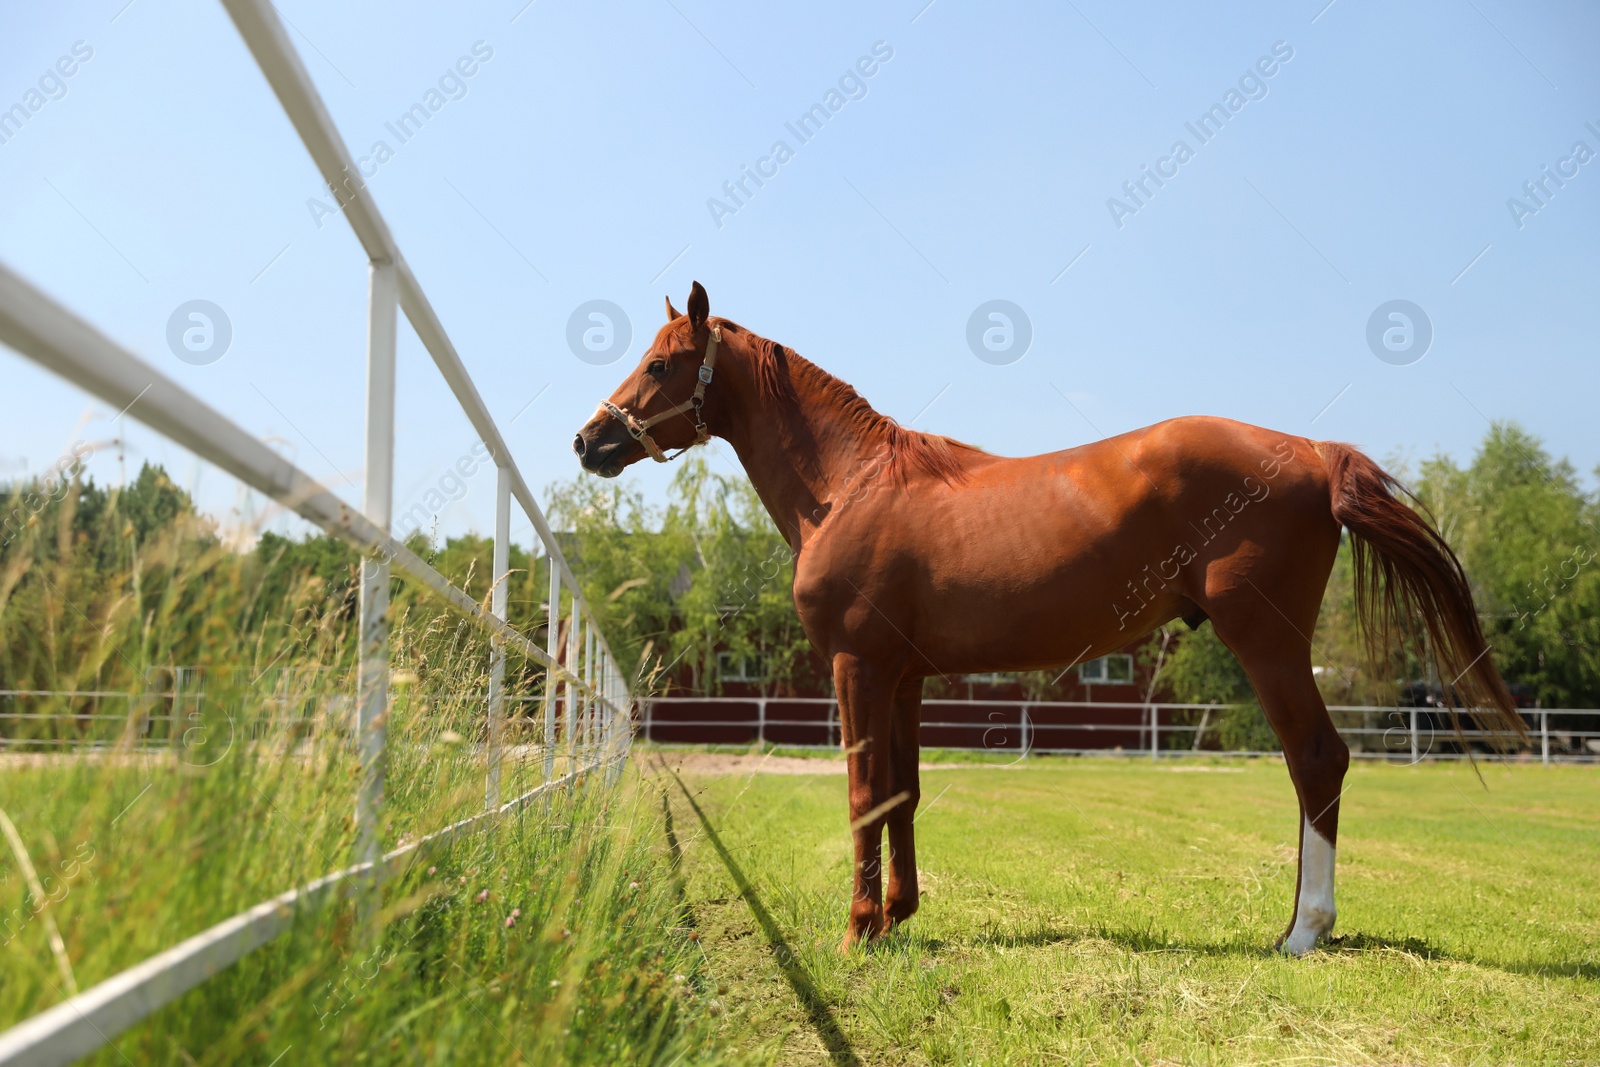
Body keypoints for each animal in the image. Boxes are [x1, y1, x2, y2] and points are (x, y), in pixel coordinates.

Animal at [579, 281, 1523, 953]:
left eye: (661, 363)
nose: (590, 441)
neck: (852, 483)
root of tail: (1312, 452)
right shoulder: (903, 677)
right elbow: (901, 792)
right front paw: (897, 917)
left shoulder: (855, 667)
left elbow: (860, 794)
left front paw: (854, 931)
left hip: (1269, 642)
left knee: (1317, 759)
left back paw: (1303, 931)